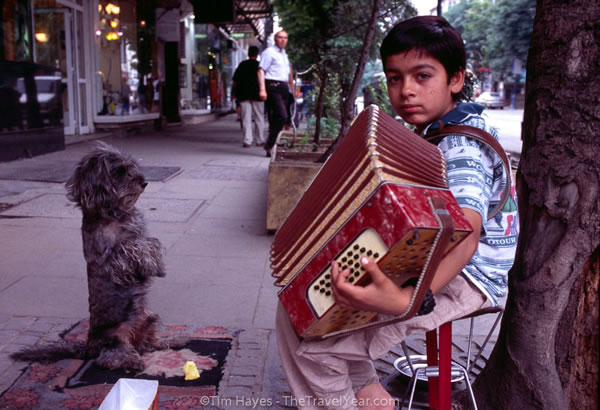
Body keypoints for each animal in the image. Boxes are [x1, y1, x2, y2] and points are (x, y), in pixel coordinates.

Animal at [11, 143, 188, 374]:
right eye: (120, 171)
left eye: (131, 167)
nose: (144, 182)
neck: (113, 212)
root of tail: (88, 347)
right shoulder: (113, 259)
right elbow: (133, 246)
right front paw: (151, 264)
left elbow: (151, 242)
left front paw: (157, 265)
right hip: (115, 339)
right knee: (110, 358)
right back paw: (133, 362)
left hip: (149, 317)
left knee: (148, 345)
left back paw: (173, 340)